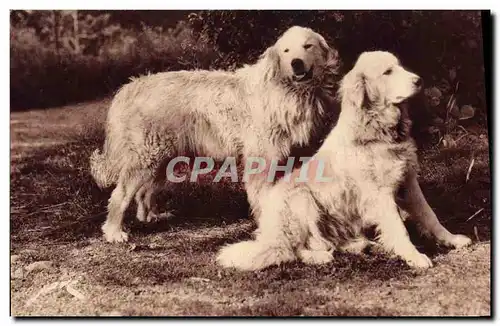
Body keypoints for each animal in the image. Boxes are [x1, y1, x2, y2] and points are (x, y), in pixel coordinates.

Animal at [90, 26, 340, 242]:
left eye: (307, 46)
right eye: (286, 51)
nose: (296, 63)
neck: (286, 89)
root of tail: (131, 86)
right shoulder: (262, 159)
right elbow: (263, 198)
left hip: (162, 158)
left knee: (144, 192)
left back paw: (150, 216)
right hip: (147, 157)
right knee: (120, 195)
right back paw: (114, 232)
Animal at [217, 51, 470, 270]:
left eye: (399, 66)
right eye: (388, 72)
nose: (419, 81)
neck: (379, 131)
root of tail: (270, 235)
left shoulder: (408, 183)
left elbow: (430, 215)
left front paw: (452, 239)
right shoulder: (380, 193)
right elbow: (399, 228)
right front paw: (414, 256)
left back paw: (362, 245)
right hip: (301, 198)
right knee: (294, 249)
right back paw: (319, 256)